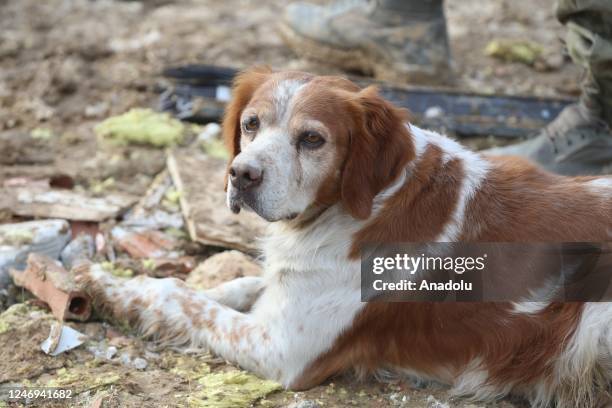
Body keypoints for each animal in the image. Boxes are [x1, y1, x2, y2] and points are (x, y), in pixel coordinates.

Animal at [76, 68, 612, 406]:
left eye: (312, 139)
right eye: (250, 124)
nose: (241, 174)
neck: (367, 204)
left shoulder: (284, 349)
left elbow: (181, 297)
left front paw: (120, 293)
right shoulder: (290, 293)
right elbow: (229, 287)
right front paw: (111, 286)